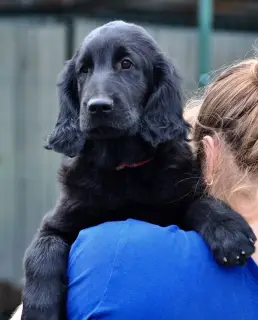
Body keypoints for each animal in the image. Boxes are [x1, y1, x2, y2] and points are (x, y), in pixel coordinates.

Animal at [21, 21, 256, 318]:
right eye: (84, 70)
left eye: (126, 64)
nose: (97, 107)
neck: (122, 169)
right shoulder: (59, 220)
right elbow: (42, 250)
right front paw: (39, 309)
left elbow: (199, 202)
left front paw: (228, 230)